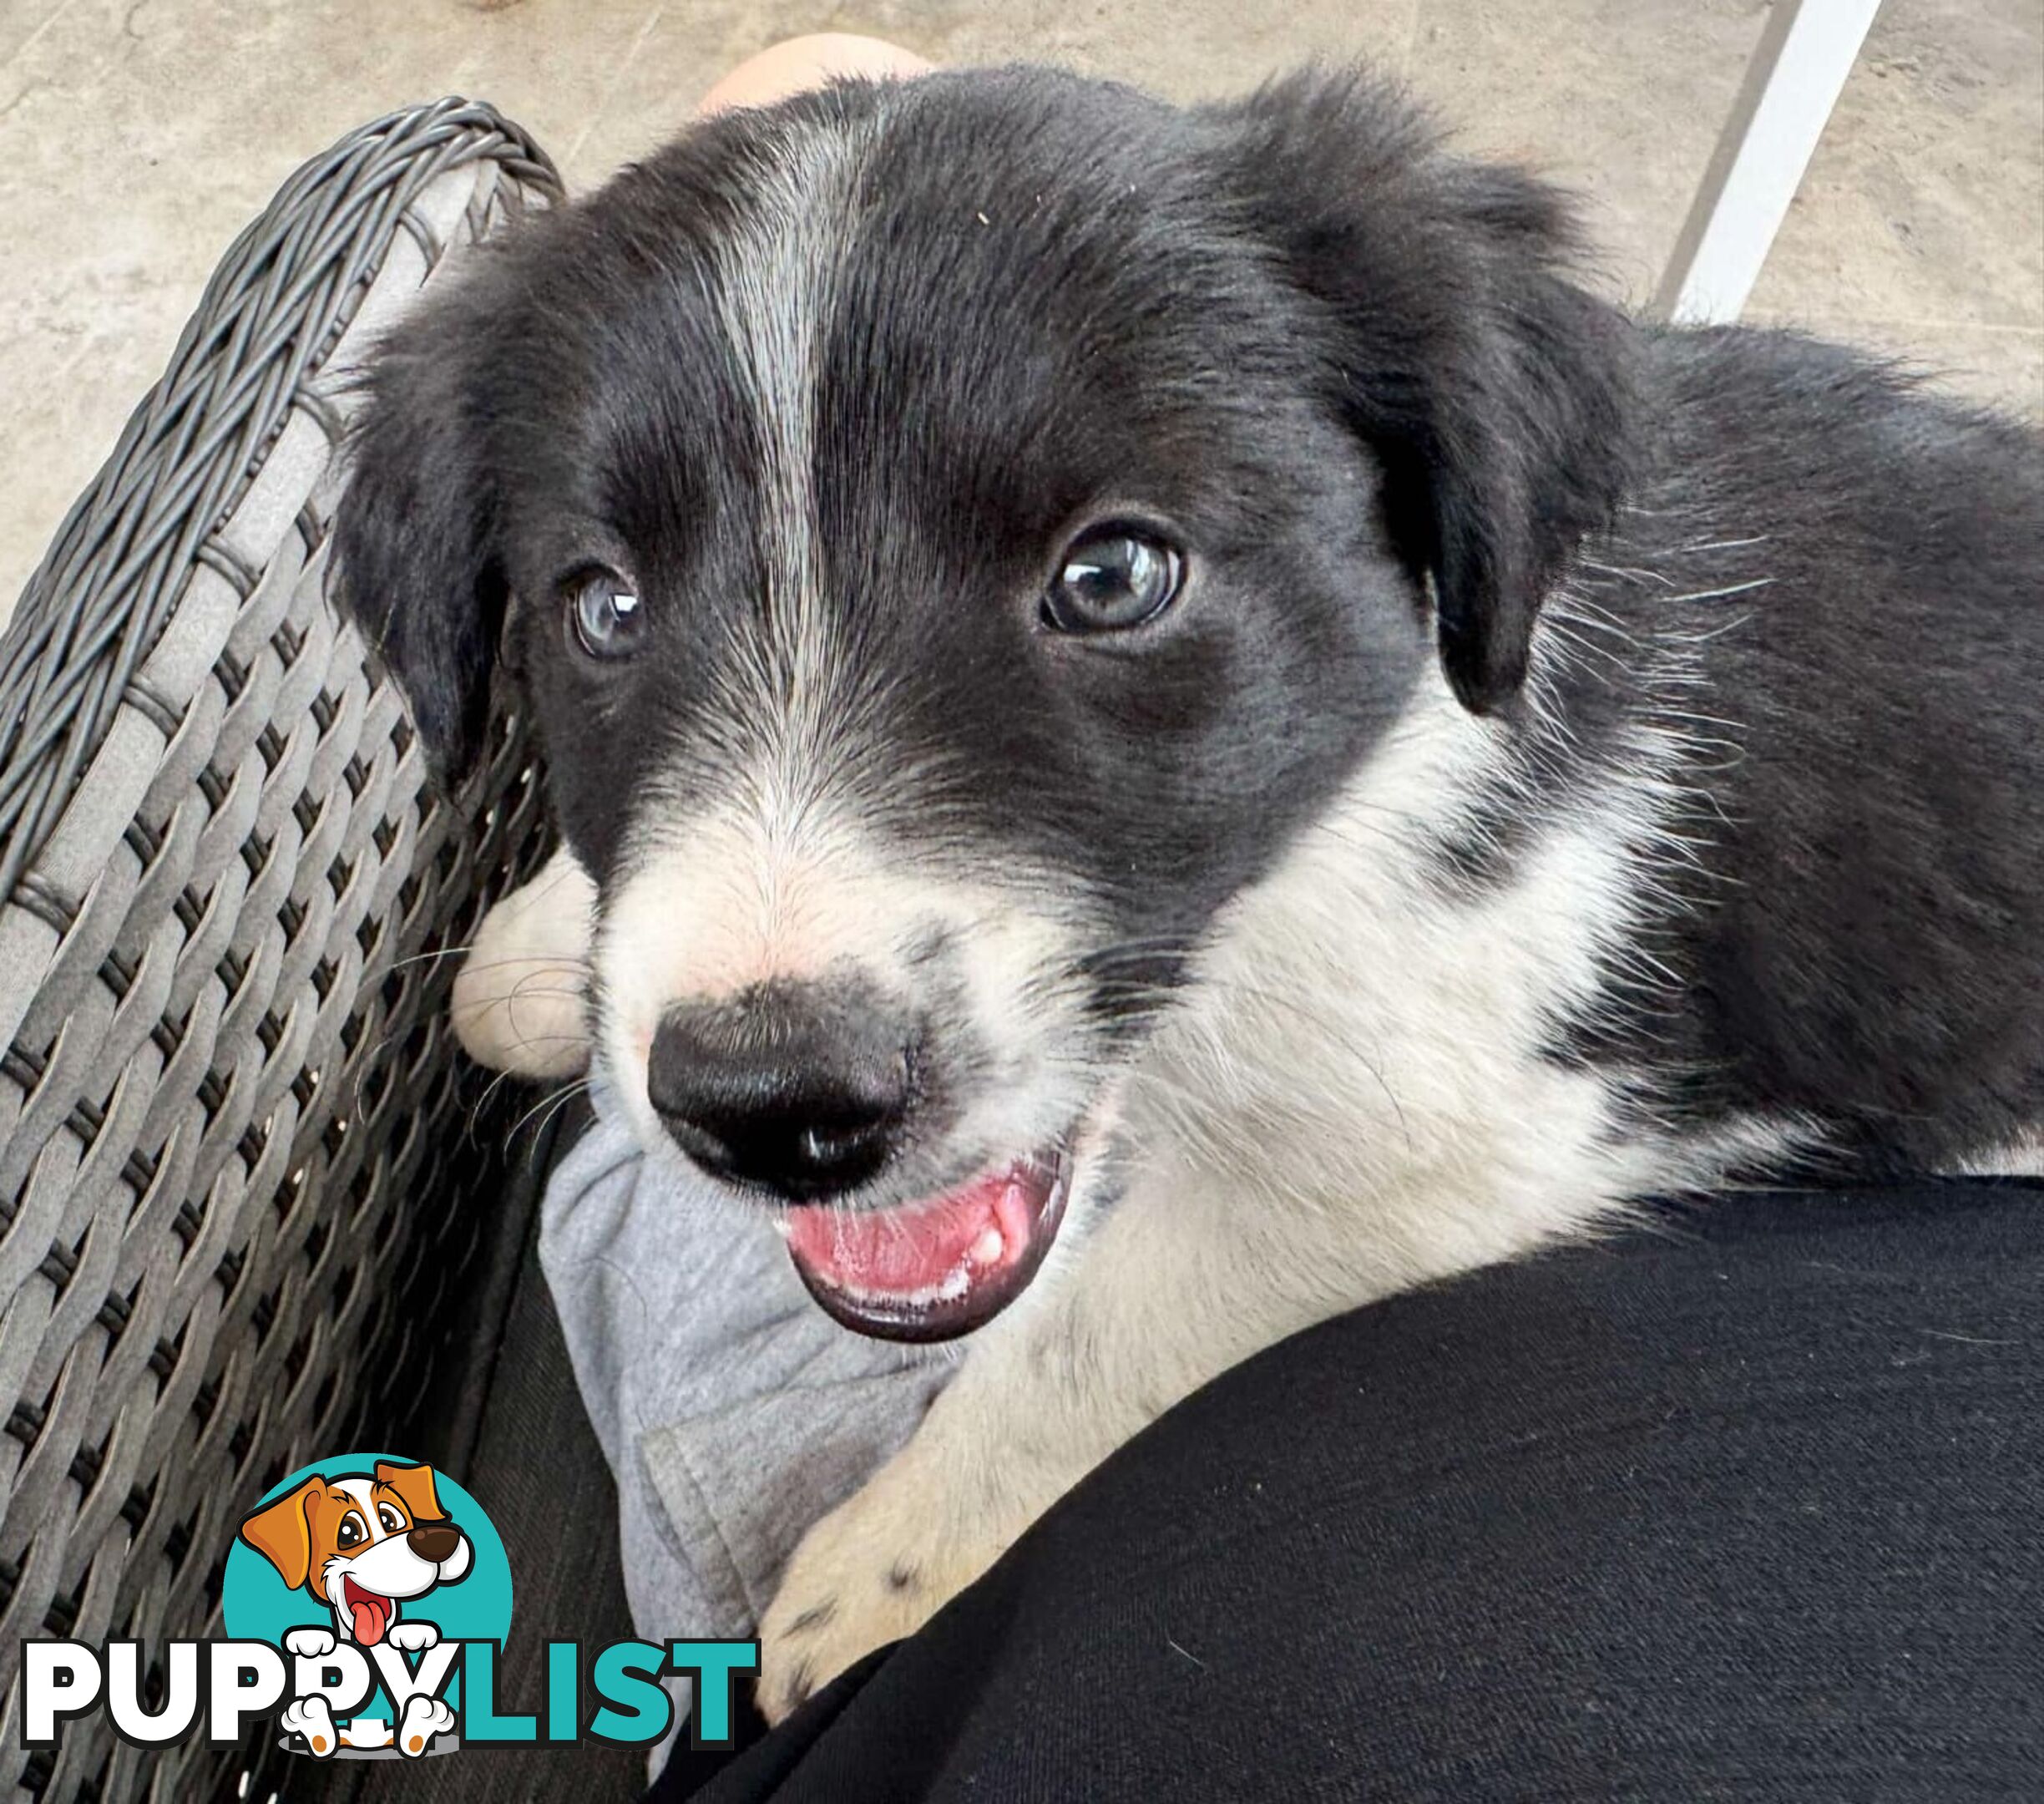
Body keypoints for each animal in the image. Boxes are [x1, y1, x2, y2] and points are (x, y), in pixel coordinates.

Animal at [335, 59, 2044, 1718]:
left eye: (1113, 578)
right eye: (602, 608)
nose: (770, 1105)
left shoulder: (1450, 1144)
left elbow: (1093, 1336)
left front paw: (889, 1557)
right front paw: (536, 949)